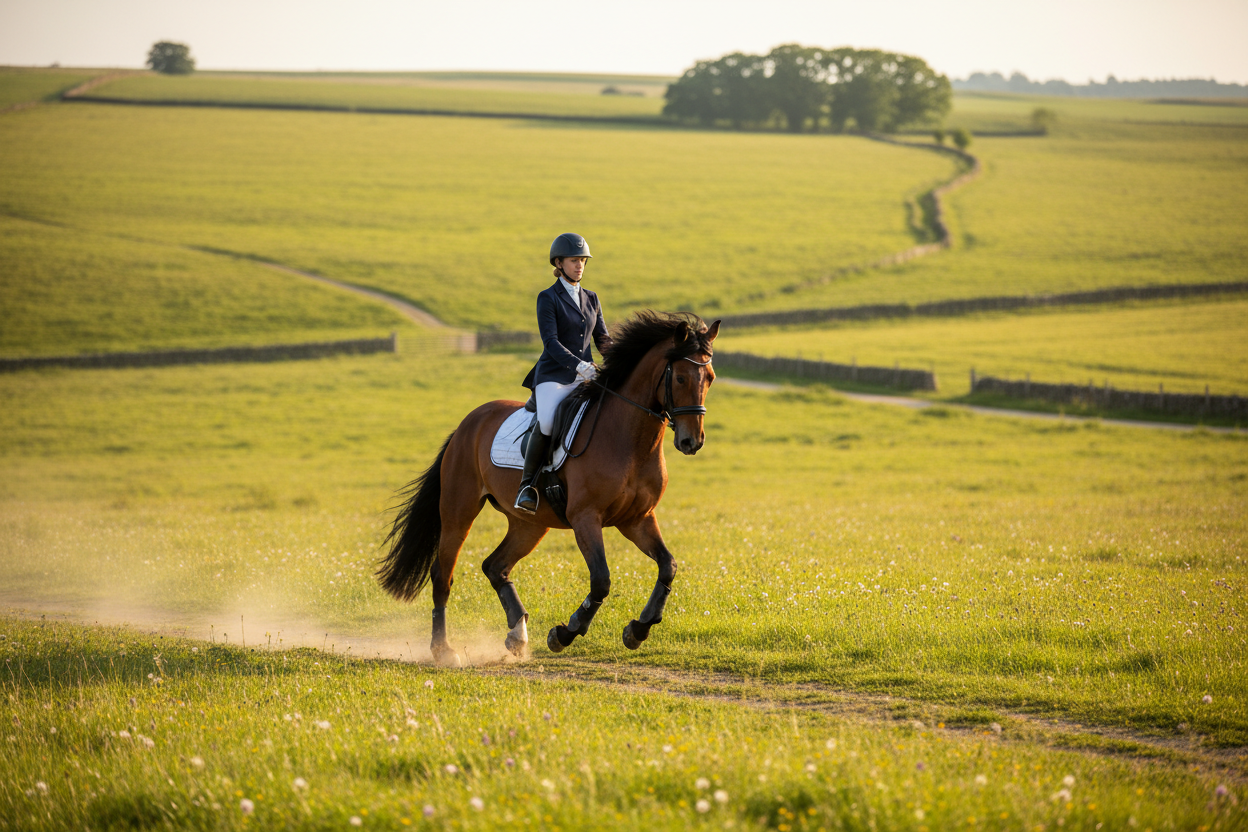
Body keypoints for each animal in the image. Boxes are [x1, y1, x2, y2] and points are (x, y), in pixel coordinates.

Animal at [376, 311, 720, 666]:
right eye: (681, 378)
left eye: (709, 378)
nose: (692, 441)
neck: (629, 440)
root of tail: (466, 424)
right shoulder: (586, 518)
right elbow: (601, 580)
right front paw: (565, 633)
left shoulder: (637, 519)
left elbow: (667, 566)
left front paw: (638, 629)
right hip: (459, 511)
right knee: (443, 574)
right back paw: (444, 650)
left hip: (529, 524)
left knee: (495, 566)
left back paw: (517, 635)